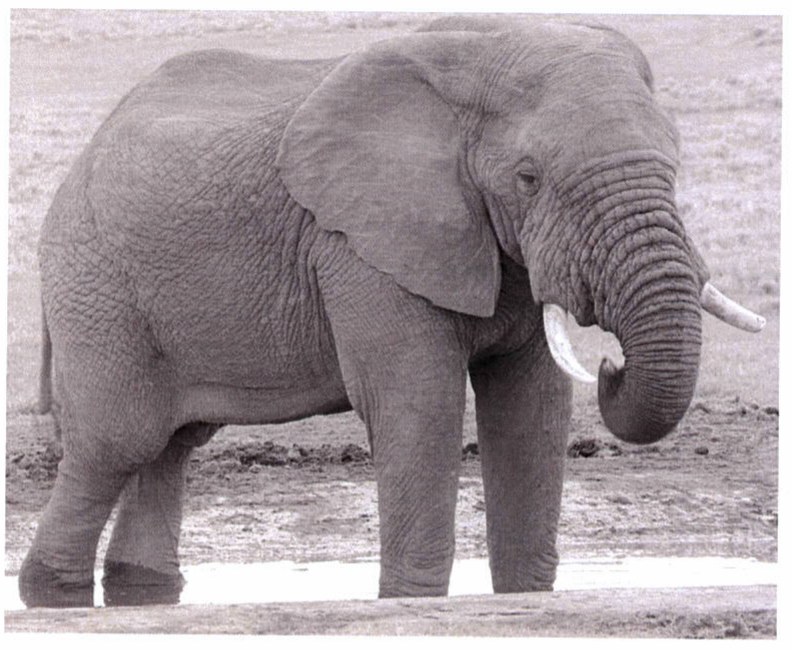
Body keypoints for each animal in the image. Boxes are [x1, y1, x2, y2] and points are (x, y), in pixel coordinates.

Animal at [19, 17, 765, 607]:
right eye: (528, 178)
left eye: (673, 167)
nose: (612, 365)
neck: (481, 54)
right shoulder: (359, 244)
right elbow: (417, 405)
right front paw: (411, 601)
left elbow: (530, 411)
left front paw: (524, 597)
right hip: (96, 283)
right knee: (117, 443)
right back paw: (50, 594)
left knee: (171, 447)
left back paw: (140, 593)